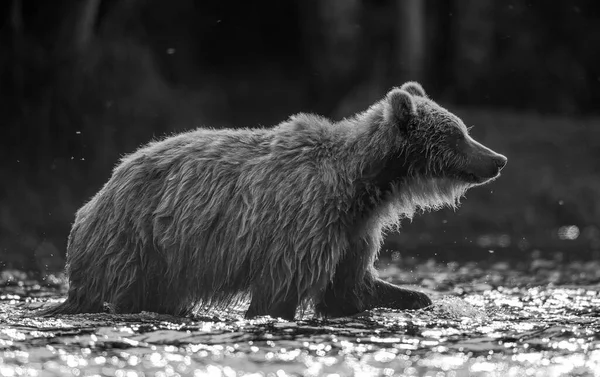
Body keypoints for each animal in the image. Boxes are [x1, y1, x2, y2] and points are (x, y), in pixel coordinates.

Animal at [41, 81, 506, 318]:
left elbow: (351, 287)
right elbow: (280, 293)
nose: (498, 159)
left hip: (161, 261)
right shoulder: (303, 225)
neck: (361, 186)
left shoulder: (351, 232)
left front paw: (418, 296)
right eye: (458, 134)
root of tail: (106, 184)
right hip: (135, 242)